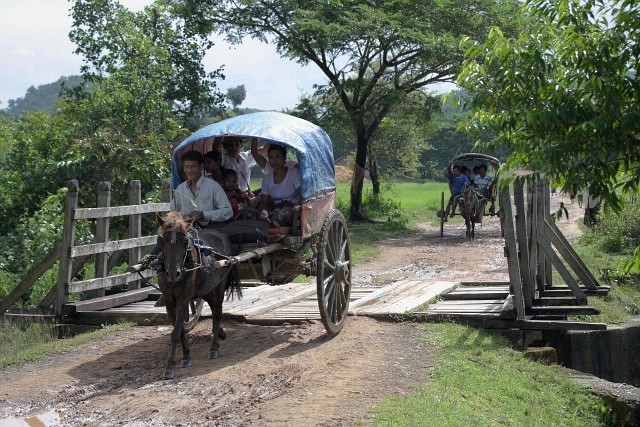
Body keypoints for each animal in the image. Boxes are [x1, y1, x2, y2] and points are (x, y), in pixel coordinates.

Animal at [156, 212, 241, 380]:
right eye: (163, 241)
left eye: (184, 242)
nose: (173, 273)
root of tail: (221, 235)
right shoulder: (169, 302)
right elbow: (180, 330)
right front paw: (186, 356)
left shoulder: (183, 300)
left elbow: (175, 333)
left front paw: (170, 367)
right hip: (205, 289)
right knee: (213, 306)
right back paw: (220, 333)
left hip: (219, 285)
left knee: (217, 313)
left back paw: (214, 348)